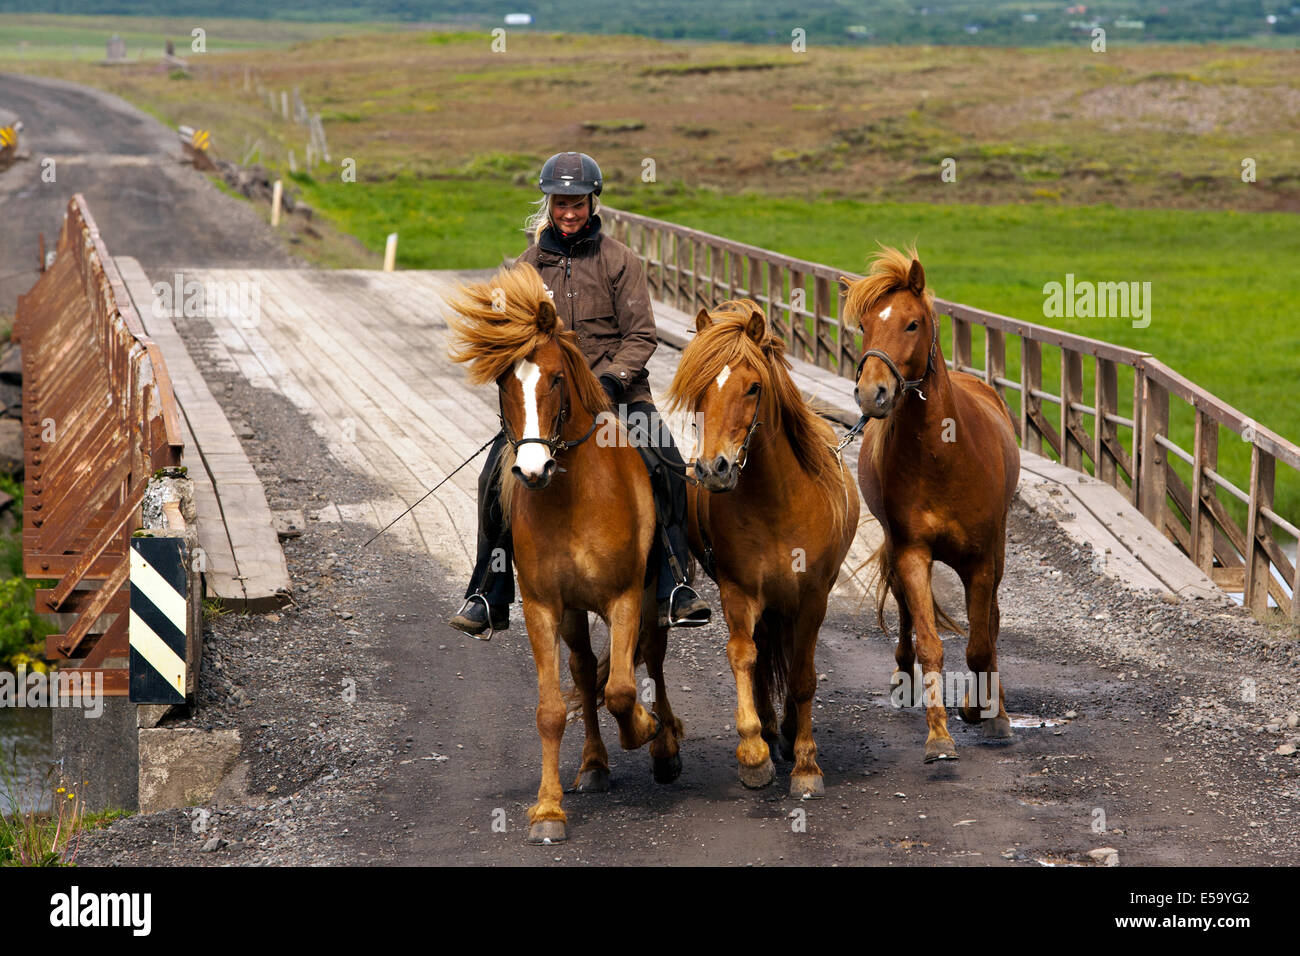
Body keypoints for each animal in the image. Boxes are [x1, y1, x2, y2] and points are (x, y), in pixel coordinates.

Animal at [447, 261, 686, 842]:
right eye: (505, 381)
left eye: (556, 378)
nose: (533, 469)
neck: (572, 497)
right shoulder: (542, 608)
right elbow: (553, 709)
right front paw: (548, 809)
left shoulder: (625, 597)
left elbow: (622, 689)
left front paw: (647, 729)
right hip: (575, 612)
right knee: (582, 668)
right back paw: (594, 764)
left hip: (653, 596)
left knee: (652, 659)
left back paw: (665, 746)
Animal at [670, 303, 852, 796]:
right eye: (699, 389)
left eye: (753, 387)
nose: (713, 469)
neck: (777, 501)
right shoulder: (739, 592)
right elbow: (743, 656)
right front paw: (753, 754)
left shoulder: (812, 598)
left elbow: (804, 676)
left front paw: (806, 764)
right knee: (765, 648)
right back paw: (772, 731)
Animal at [847, 247, 1019, 764]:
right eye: (863, 325)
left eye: (912, 324)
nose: (872, 392)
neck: (944, 456)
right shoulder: (912, 553)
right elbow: (929, 642)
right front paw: (939, 736)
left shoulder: (981, 559)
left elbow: (981, 643)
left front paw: (985, 711)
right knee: (905, 613)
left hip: (996, 554)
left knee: (992, 623)